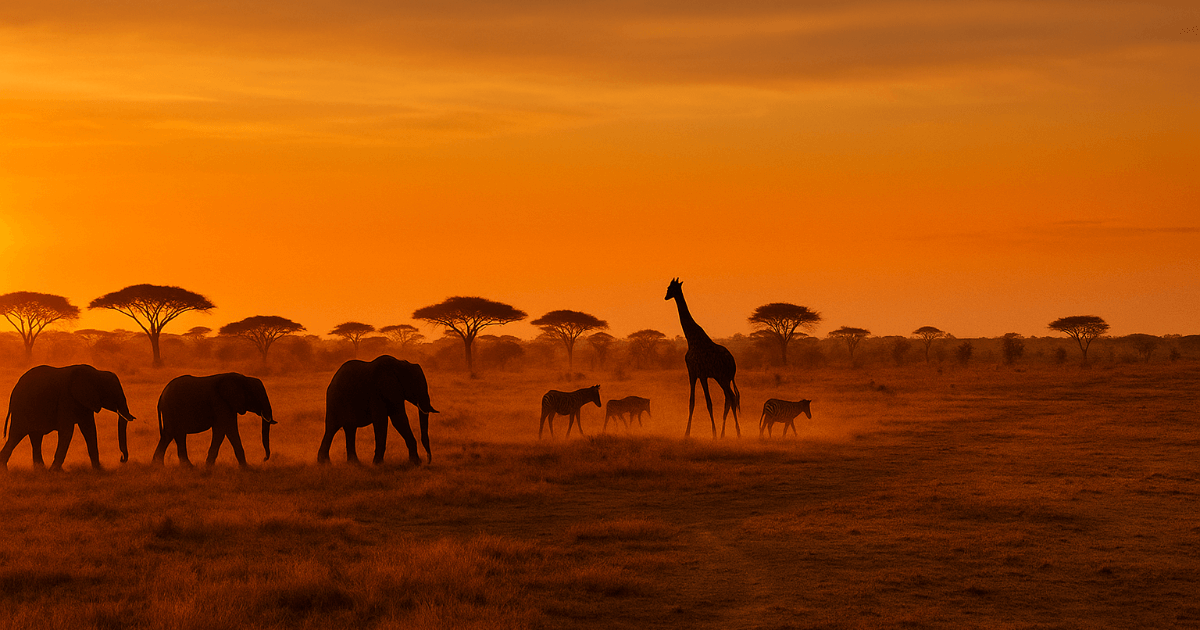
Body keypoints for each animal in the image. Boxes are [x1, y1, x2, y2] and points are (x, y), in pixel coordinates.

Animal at [1, 364, 136, 470]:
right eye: (113, 393)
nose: (121, 458)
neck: (97, 373)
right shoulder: (66, 398)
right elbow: (67, 431)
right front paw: (54, 471)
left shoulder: (85, 402)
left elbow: (90, 430)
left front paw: (98, 470)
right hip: (22, 409)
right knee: (16, 435)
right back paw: (6, 470)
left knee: (35, 437)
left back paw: (40, 470)